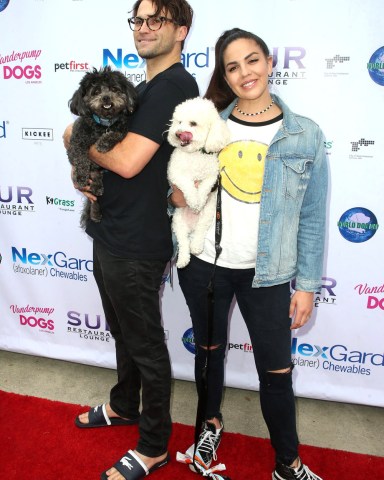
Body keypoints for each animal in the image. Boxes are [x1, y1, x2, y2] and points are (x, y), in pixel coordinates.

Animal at [67, 65, 138, 229]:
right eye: (96, 91)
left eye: (113, 88)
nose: (106, 98)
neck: (103, 123)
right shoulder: (76, 140)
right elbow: (80, 157)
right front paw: (80, 177)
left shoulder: (122, 131)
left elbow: (114, 134)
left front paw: (103, 143)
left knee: (96, 183)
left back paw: (96, 190)